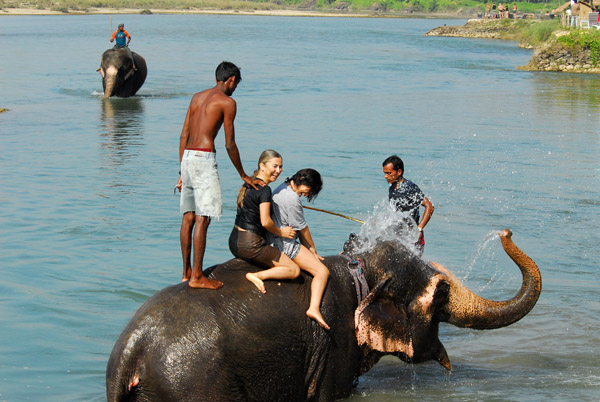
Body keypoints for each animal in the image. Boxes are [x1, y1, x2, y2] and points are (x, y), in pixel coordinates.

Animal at [105, 229, 540, 402]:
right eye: (442, 293)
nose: (505, 233)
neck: (360, 269)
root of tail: (131, 347)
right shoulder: (334, 344)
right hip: (195, 385)